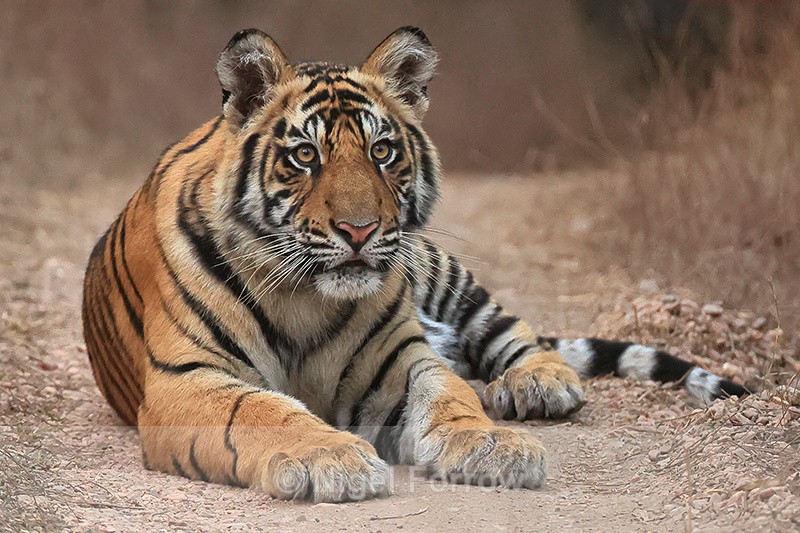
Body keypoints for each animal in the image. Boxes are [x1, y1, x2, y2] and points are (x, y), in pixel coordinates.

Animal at [82, 27, 747, 503]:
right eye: (305, 155)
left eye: (382, 151)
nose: (359, 230)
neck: (304, 296)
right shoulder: (187, 378)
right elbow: (263, 409)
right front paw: (331, 458)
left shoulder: (400, 361)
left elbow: (449, 395)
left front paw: (493, 444)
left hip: (439, 272)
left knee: (512, 335)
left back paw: (536, 384)